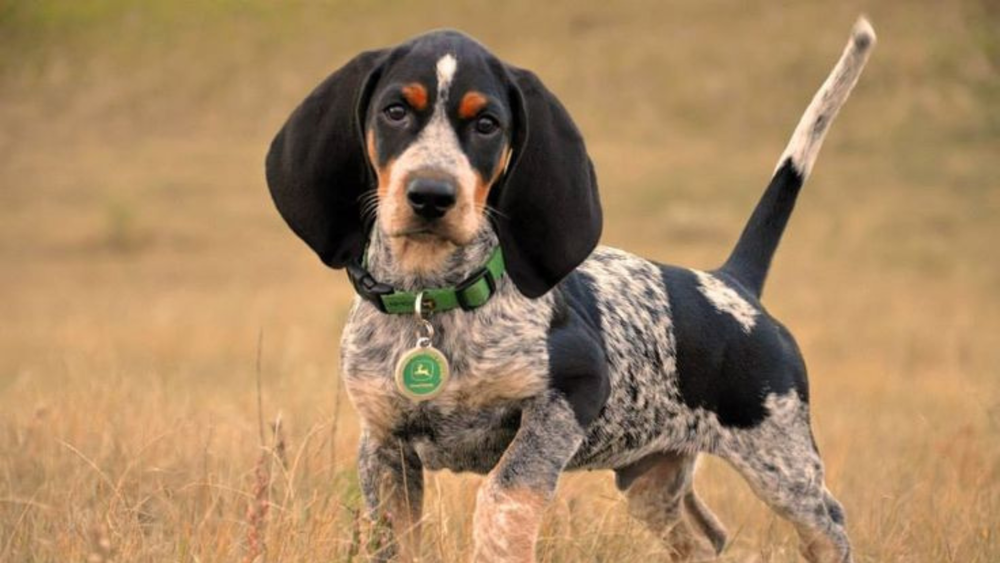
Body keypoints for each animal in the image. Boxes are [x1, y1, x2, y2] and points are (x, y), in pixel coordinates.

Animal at [264, 15, 876, 560]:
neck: (431, 302)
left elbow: (504, 493)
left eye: (487, 124)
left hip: (782, 463)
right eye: (394, 111)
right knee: (707, 538)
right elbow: (393, 539)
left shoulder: (569, 393)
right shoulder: (384, 449)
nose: (432, 195)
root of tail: (732, 282)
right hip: (650, 480)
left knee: (828, 526)